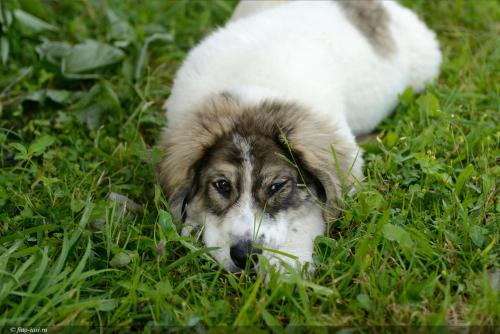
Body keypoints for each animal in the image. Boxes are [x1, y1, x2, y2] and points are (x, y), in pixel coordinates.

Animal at [157, 0, 442, 272]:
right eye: (222, 186)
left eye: (276, 186)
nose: (244, 257)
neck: (251, 100)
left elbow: (311, 214)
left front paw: (288, 266)